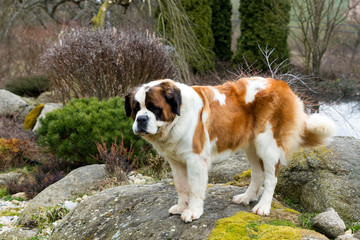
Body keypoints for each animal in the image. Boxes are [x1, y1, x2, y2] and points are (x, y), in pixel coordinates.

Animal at [124, 78, 334, 223]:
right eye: (136, 108)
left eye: (154, 108)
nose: (141, 119)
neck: (178, 117)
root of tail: (282, 85)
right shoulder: (176, 162)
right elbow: (182, 187)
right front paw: (181, 207)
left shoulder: (195, 160)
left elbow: (194, 188)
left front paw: (192, 211)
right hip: (252, 147)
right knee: (257, 174)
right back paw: (246, 198)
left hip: (267, 145)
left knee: (271, 178)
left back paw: (263, 207)